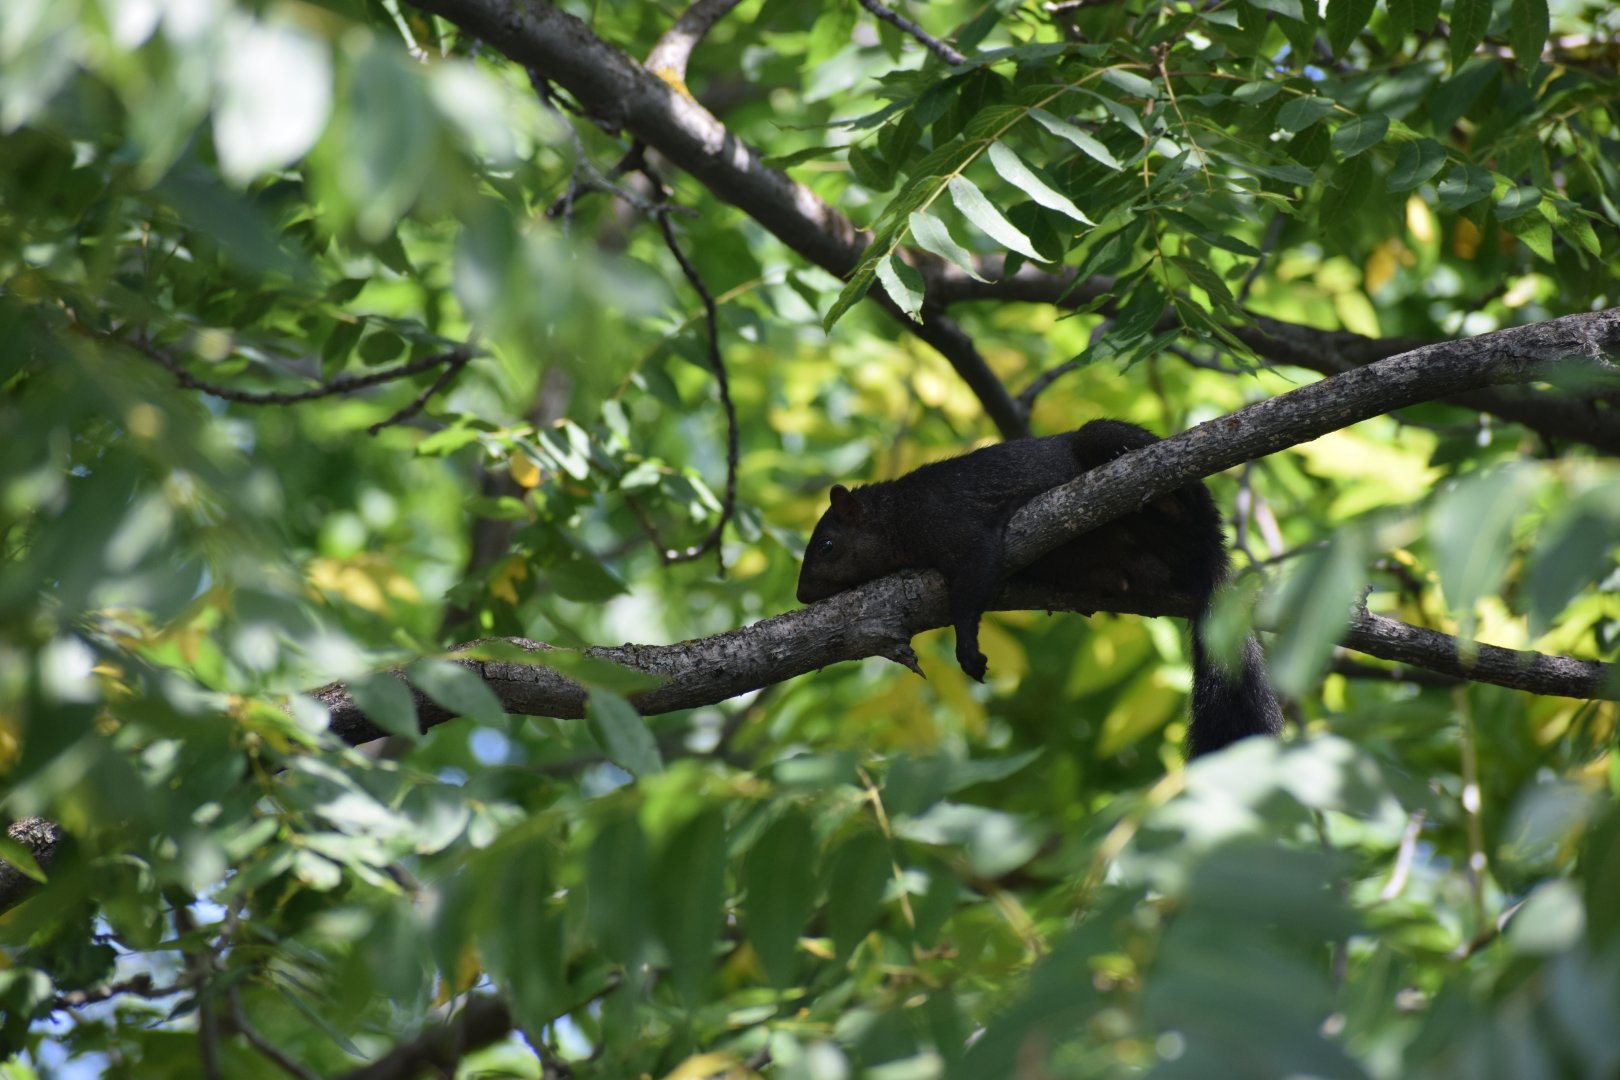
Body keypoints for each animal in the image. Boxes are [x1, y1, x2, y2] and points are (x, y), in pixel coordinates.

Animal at [796, 419, 1283, 757]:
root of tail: (1208, 555)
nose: (801, 595)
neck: (897, 514)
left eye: (826, 545)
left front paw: (967, 650)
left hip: (1114, 447)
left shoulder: (955, 527)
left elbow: (973, 583)